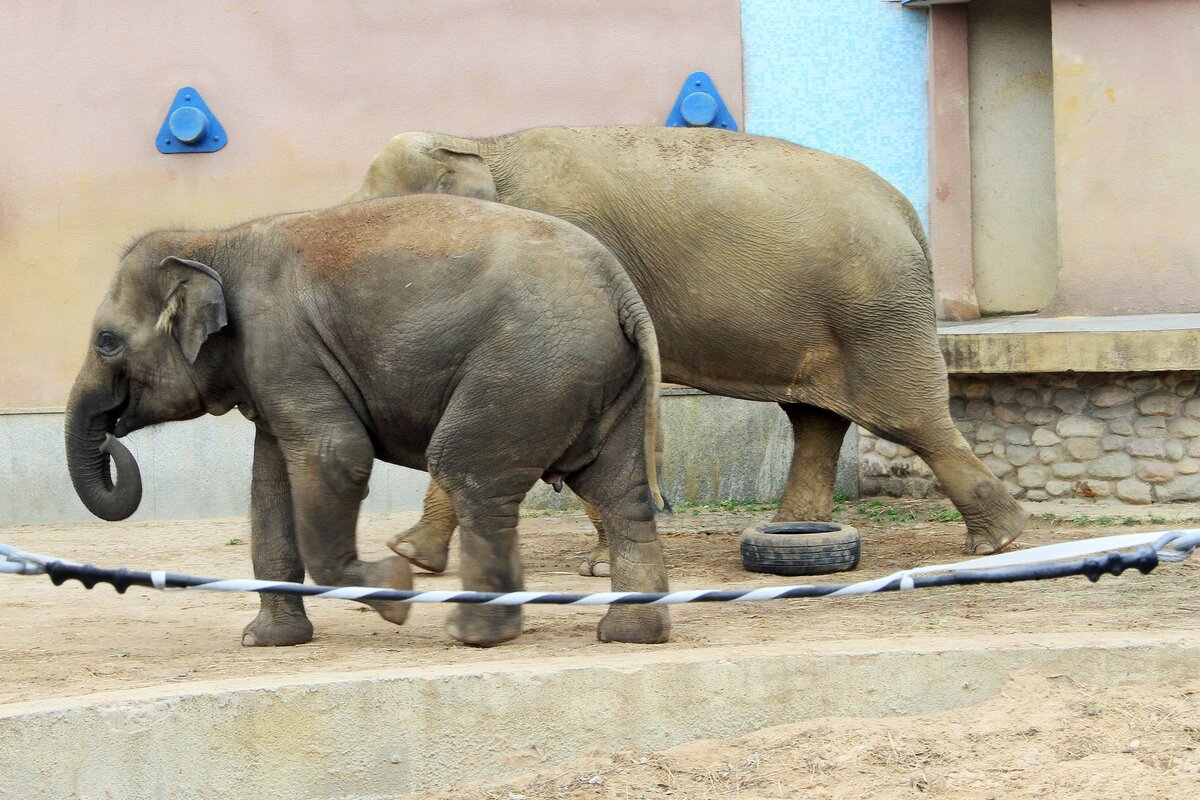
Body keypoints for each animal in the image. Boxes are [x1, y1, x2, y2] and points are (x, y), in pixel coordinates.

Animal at [65, 195, 672, 652]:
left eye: (106, 341)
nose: (113, 438)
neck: (214, 241)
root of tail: (621, 289)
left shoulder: (283, 345)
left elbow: (335, 455)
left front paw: (394, 592)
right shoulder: (272, 372)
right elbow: (271, 486)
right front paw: (265, 641)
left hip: (530, 368)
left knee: (469, 473)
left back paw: (473, 634)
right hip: (598, 378)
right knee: (618, 492)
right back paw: (630, 633)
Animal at [350, 125, 1032, 568]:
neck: (484, 145)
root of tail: (908, 213)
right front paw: (413, 557)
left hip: (877, 313)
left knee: (906, 416)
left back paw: (997, 542)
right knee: (816, 417)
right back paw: (792, 531)